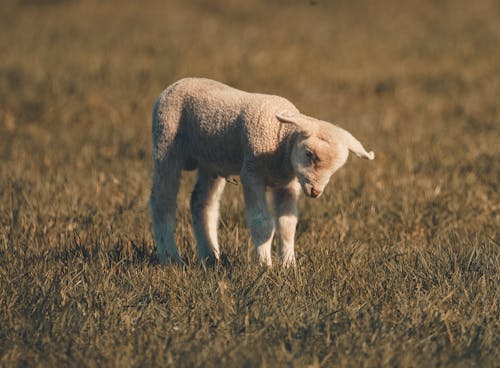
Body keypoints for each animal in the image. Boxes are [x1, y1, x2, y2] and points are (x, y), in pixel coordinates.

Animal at [146, 78, 374, 268]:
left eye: (335, 169)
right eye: (309, 154)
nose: (314, 192)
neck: (281, 139)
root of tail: (176, 83)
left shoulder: (288, 184)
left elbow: (287, 225)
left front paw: (289, 265)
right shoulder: (251, 173)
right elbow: (262, 222)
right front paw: (265, 266)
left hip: (210, 162)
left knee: (201, 204)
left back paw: (211, 256)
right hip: (166, 144)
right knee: (161, 202)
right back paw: (171, 258)